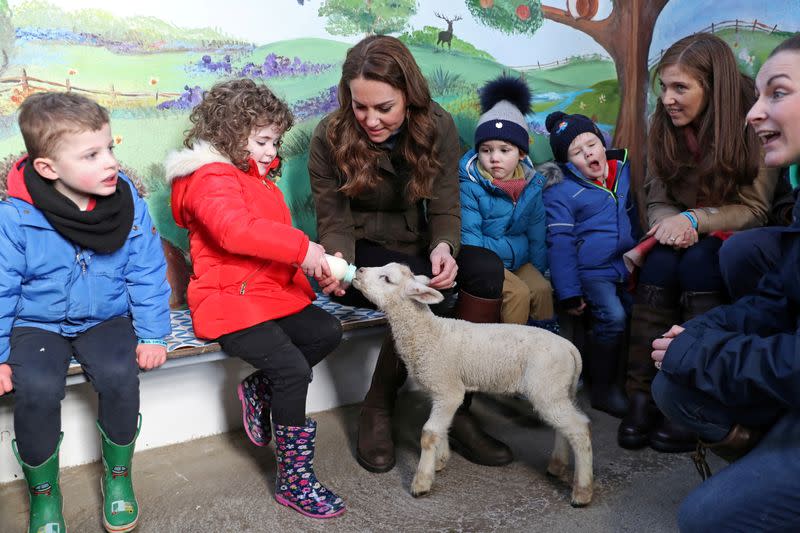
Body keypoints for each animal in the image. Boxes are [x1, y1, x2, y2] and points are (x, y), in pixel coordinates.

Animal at [352, 264, 592, 504]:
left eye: (387, 278)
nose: (359, 270)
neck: (428, 333)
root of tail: (571, 348)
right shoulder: (440, 391)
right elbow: (442, 428)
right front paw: (440, 460)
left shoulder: (448, 389)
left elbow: (429, 433)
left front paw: (422, 481)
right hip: (557, 390)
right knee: (563, 427)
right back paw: (557, 466)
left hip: (547, 386)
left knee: (579, 429)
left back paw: (582, 491)